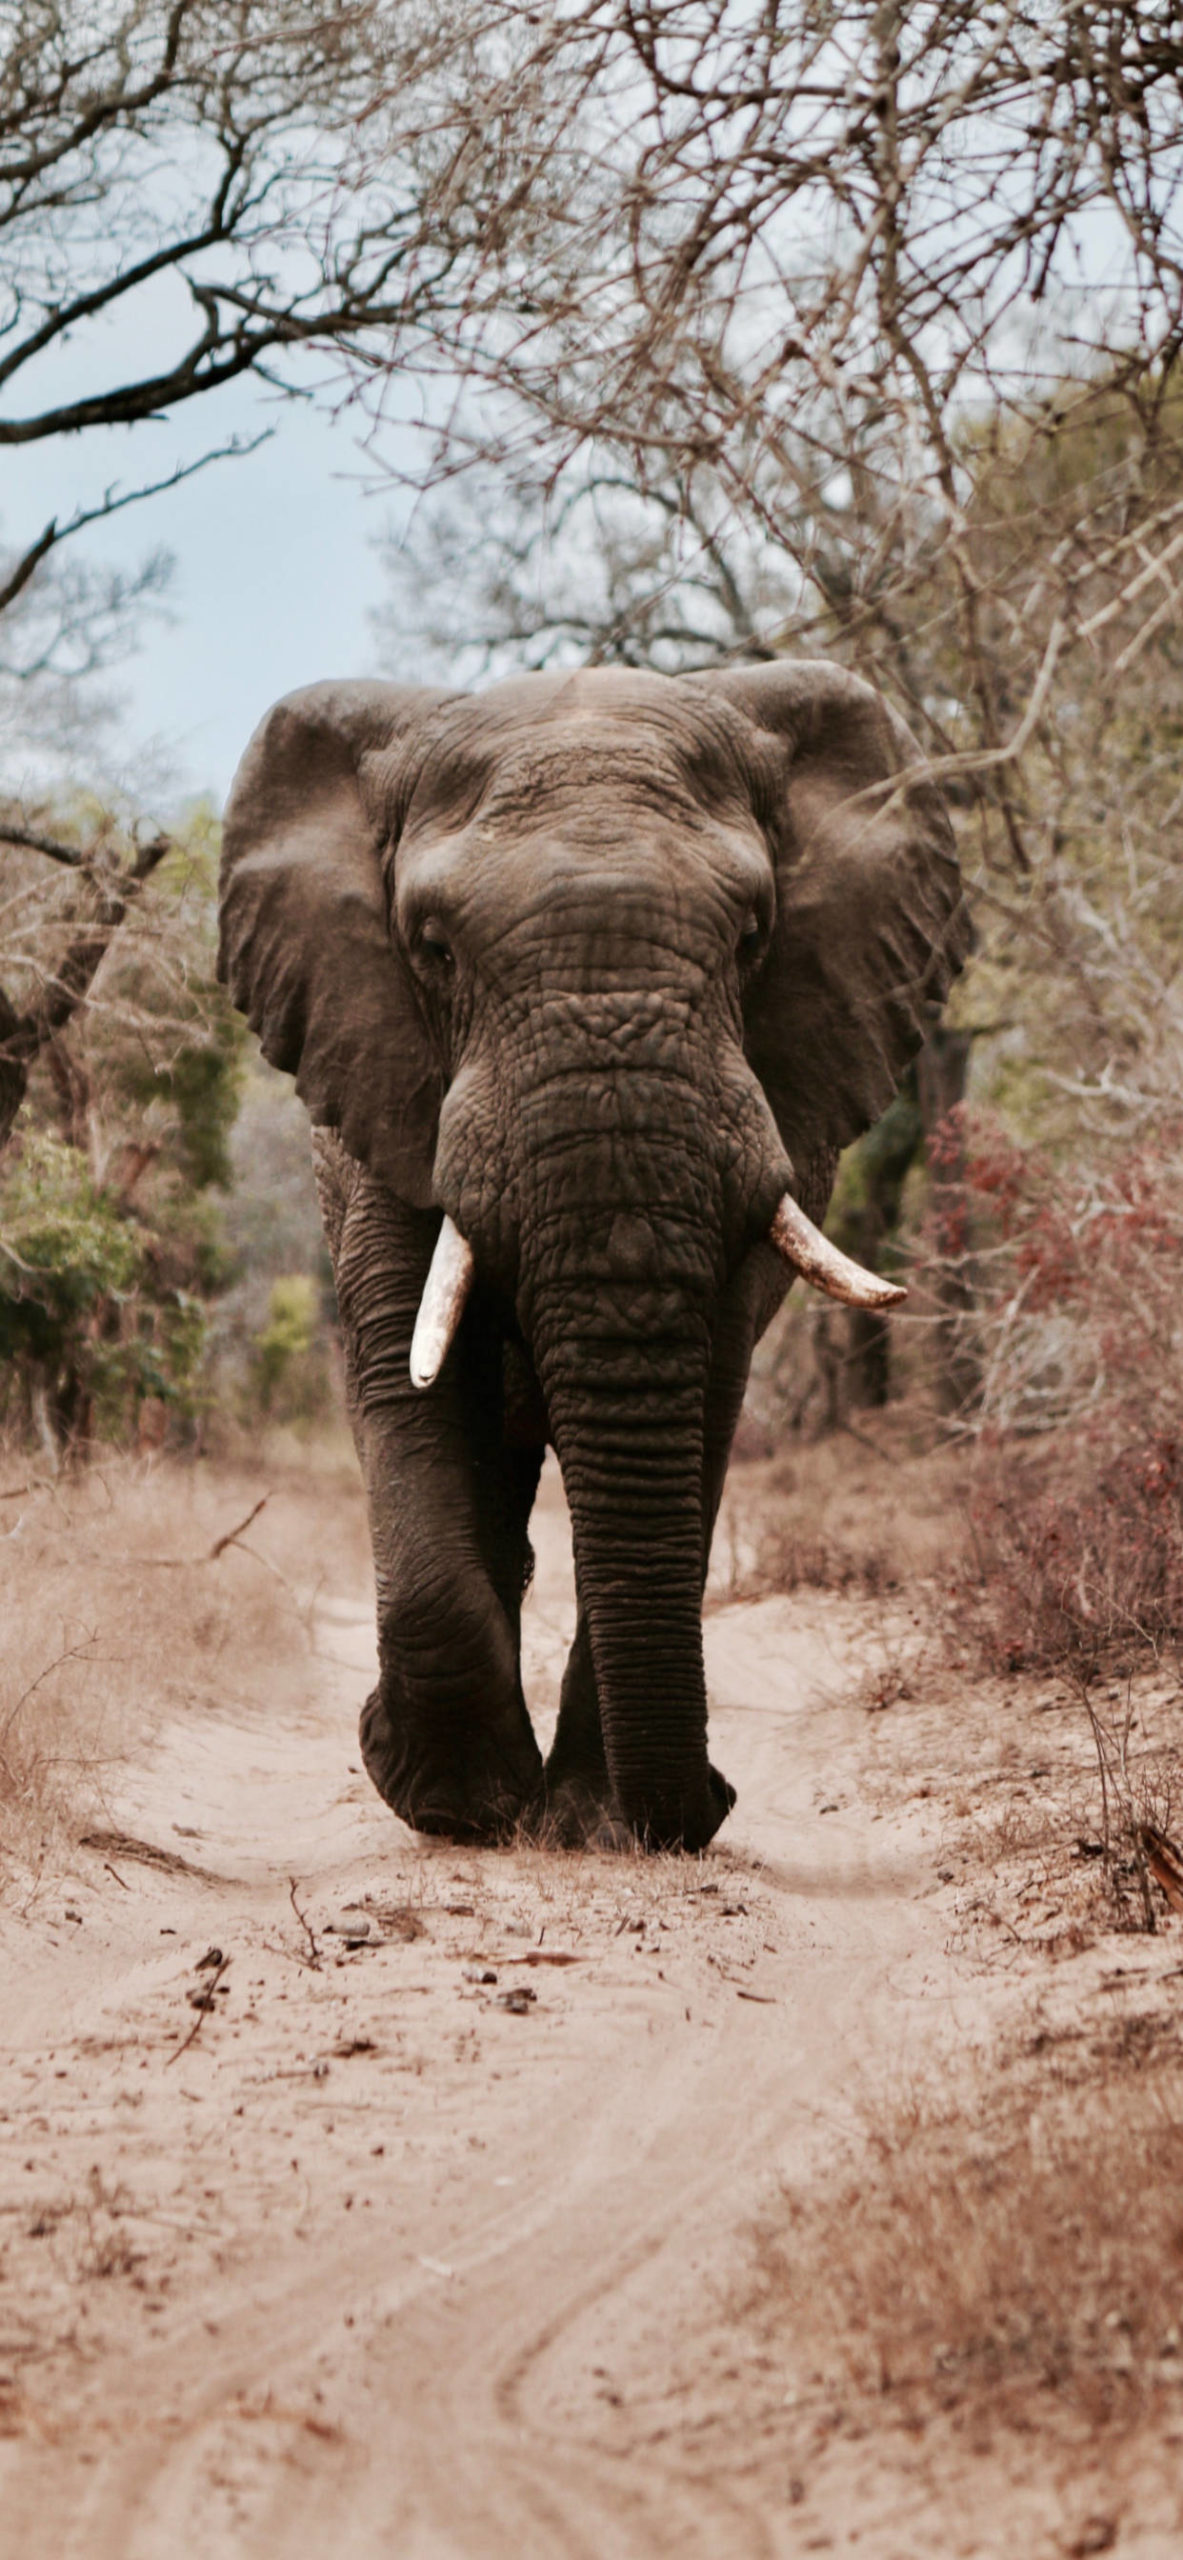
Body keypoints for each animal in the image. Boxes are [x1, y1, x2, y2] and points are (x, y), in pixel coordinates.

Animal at [218, 661, 968, 1852]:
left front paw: (589, 1821)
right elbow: (407, 1374)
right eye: (433, 949)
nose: (709, 1804)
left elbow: (704, 1391)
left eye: (751, 937)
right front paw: (455, 1806)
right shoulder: (381, 1086)